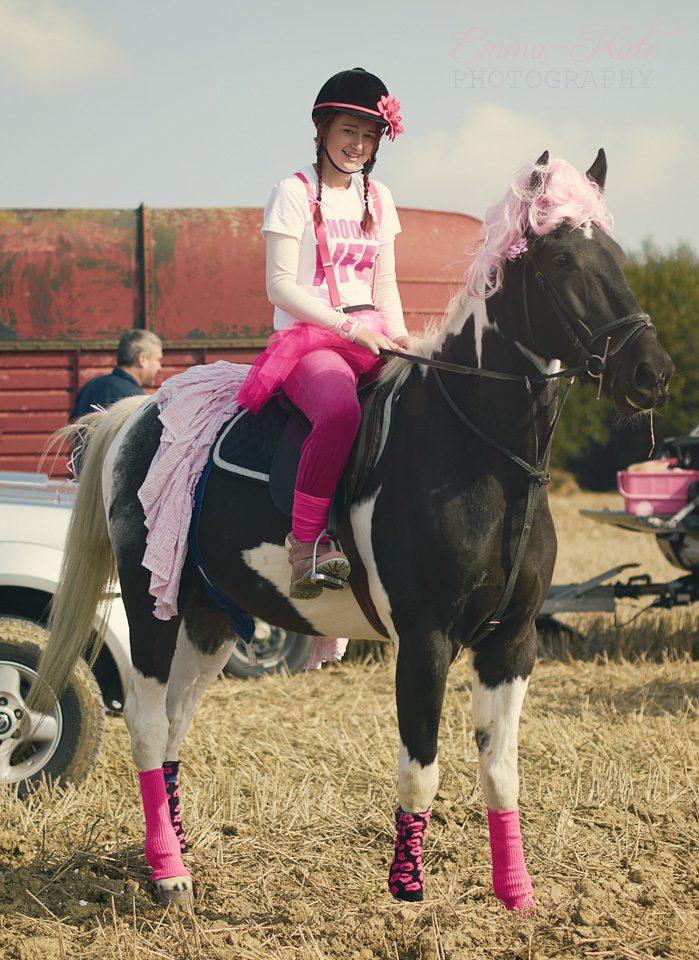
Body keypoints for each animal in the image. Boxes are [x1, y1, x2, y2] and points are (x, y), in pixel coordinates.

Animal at [28, 149, 673, 909]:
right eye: (562, 260)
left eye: (619, 257)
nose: (652, 372)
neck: (479, 451)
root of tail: (139, 413)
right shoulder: (424, 640)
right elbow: (420, 770)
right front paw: (407, 893)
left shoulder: (511, 643)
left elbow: (501, 770)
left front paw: (517, 898)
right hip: (151, 609)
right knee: (149, 726)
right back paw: (169, 876)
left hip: (209, 619)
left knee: (176, 728)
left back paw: (176, 856)